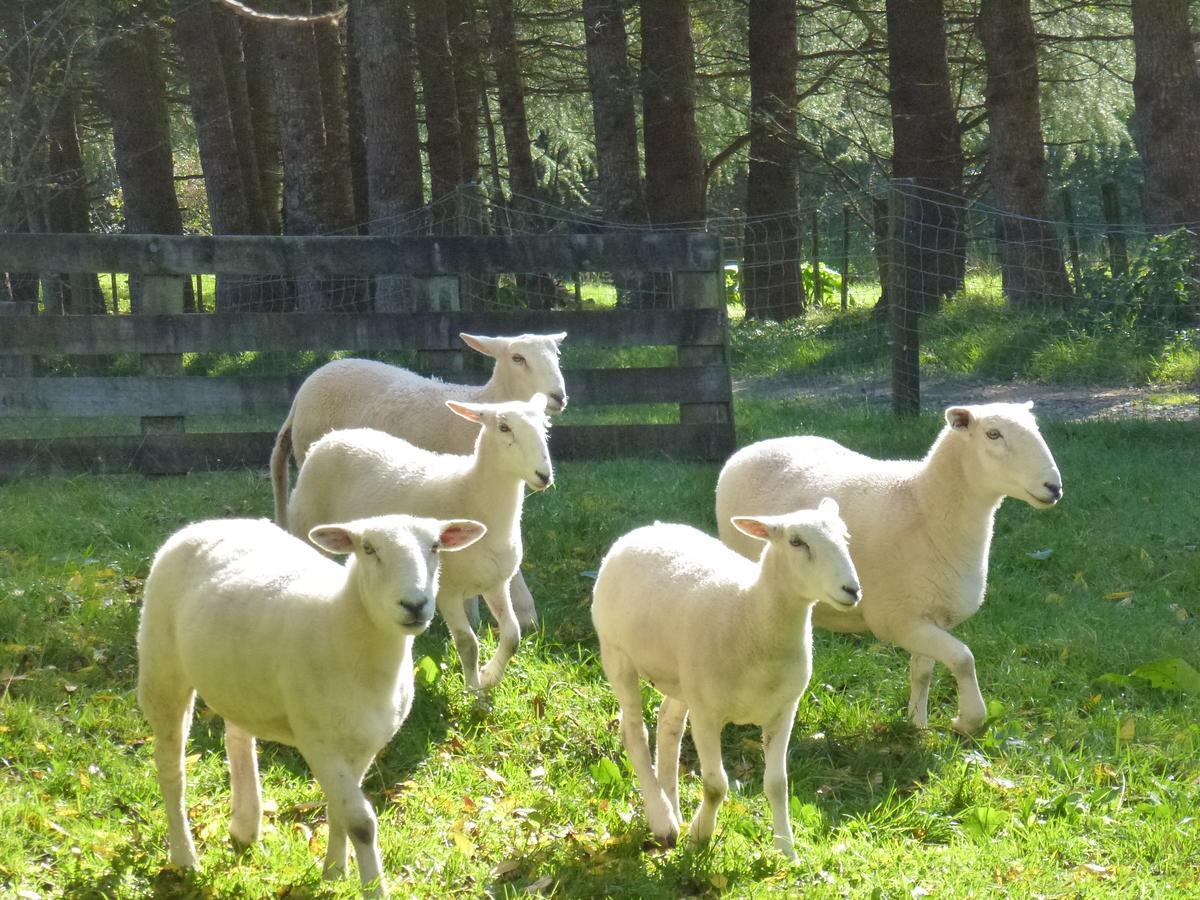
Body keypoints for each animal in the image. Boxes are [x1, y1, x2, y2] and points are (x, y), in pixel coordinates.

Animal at [142, 511, 489, 897]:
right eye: (368, 548)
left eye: (435, 546)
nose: (414, 604)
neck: (343, 624)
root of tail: (209, 524)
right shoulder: (317, 740)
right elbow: (361, 821)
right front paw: (372, 886)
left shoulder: (365, 742)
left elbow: (340, 811)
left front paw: (334, 873)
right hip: (162, 666)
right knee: (171, 766)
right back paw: (184, 856)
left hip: (238, 679)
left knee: (237, 739)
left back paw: (245, 827)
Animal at [271, 331, 566, 633]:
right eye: (518, 358)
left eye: (557, 355)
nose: (558, 396)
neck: (482, 401)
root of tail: (307, 385)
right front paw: (518, 614)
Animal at [288, 396, 554, 696]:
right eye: (504, 427)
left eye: (545, 427)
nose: (544, 475)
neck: (471, 494)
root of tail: (330, 437)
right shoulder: (447, 592)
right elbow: (468, 644)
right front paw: (474, 693)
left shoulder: (495, 583)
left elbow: (512, 636)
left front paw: (489, 676)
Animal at [592, 504, 864, 864]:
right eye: (796, 541)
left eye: (846, 537)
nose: (852, 590)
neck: (751, 613)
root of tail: (646, 529)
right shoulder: (707, 714)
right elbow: (715, 786)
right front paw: (699, 839)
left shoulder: (784, 710)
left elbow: (777, 784)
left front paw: (786, 850)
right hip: (617, 653)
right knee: (634, 732)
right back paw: (663, 820)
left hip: (682, 678)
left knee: (668, 725)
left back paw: (673, 808)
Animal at [710, 405, 1060, 734]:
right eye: (993, 434)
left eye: (1036, 428)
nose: (1054, 487)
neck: (924, 505)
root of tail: (752, 448)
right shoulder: (898, 621)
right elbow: (963, 658)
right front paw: (967, 721)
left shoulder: (930, 614)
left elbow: (924, 671)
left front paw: (917, 724)